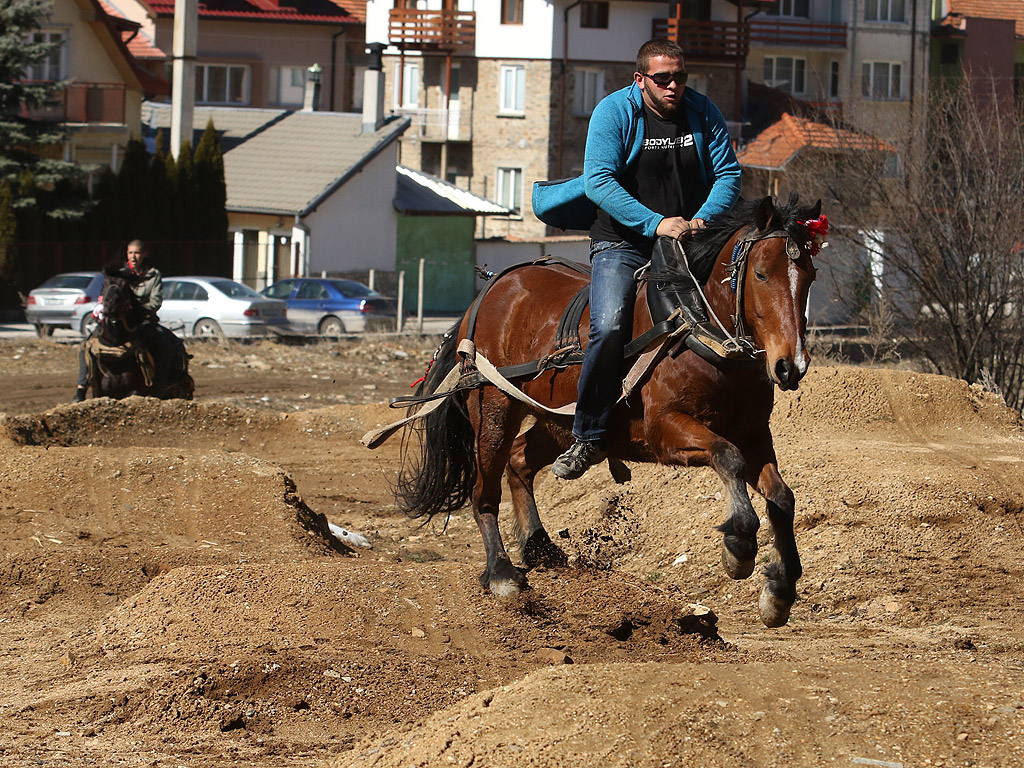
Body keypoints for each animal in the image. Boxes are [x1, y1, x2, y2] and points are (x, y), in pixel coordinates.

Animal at [83, 268, 193, 403]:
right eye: (103, 284)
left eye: (125, 286)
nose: (112, 302)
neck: (115, 349)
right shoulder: (99, 392)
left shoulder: (136, 391)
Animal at [395, 198, 819, 630]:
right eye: (762, 273)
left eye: (810, 275)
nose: (791, 366)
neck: (694, 326)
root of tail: (490, 291)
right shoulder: (665, 430)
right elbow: (727, 457)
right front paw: (739, 545)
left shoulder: (754, 435)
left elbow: (782, 496)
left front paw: (780, 588)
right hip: (493, 408)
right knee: (484, 491)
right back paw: (501, 573)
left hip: (561, 422)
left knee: (518, 461)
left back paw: (539, 546)